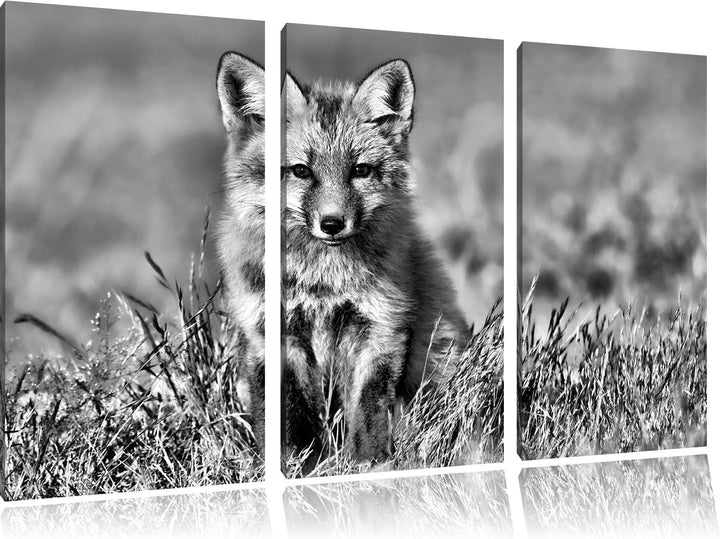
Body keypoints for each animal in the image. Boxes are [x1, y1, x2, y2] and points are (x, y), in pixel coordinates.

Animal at [282, 59, 471, 463]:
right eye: (302, 171)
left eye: (361, 171)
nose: (332, 224)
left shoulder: (380, 327)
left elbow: (369, 405)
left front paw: (367, 464)